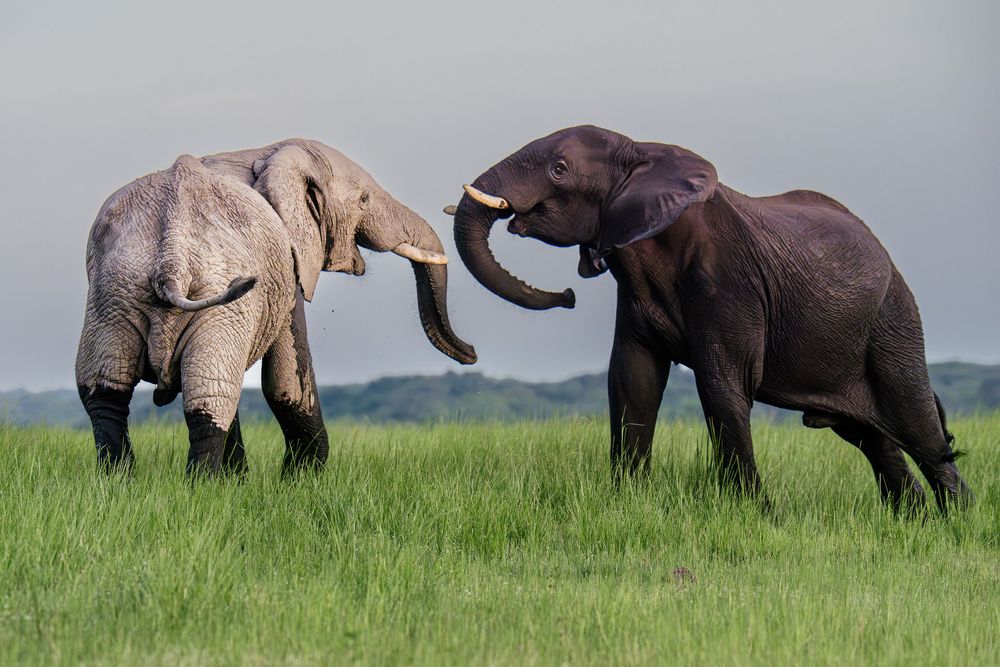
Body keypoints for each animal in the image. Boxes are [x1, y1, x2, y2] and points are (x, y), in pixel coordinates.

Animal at [77, 138, 476, 475]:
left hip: (113, 296)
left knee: (106, 392)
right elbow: (287, 383)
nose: (470, 354)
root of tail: (171, 254)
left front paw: (241, 482)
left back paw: (119, 482)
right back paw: (200, 488)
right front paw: (300, 482)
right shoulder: (288, 262)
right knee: (209, 398)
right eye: (364, 199)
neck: (266, 151)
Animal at [450, 125, 971, 512]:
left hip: (894, 319)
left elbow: (722, 385)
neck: (643, 153)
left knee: (918, 426)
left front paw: (756, 515)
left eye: (558, 169)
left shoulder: (729, 283)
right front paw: (628, 503)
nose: (569, 296)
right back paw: (913, 520)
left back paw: (956, 522)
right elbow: (634, 381)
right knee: (874, 439)